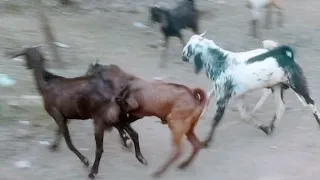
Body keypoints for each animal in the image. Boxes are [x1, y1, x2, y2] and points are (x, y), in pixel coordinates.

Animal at [11, 47, 147, 179]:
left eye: (25, 55)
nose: (26, 65)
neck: (46, 83)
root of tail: (116, 94)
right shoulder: (65, 117)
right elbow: (58, 133)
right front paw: (53, 146)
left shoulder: (57, 115)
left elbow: (69, 142)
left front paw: (85, 161)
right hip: (117, 117)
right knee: (134, 133)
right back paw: (141, 158)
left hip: (100, 120)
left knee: (100, 149)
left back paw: (93, 172)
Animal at [181, 32, 320, 148]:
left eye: (188, 48)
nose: (182, 55)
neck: (220, 62)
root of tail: (286, 55)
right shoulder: (237, 96)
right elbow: (245, 116)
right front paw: (264, 128)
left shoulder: (222, 98)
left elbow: (215, 121)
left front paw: (207, 141)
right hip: (276, 87)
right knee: (281, 107)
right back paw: (270, 127)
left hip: (297, 84)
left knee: (311, 103)